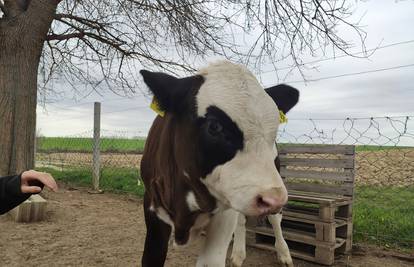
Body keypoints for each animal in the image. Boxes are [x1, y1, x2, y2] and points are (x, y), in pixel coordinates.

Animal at [141, 61, 300, 267]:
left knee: (275, 220)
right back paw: (238, 254)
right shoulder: (152, 205)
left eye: (274, 131)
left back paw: (284, 254)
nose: (274, 199)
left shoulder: (224, 213)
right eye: (214, 126)